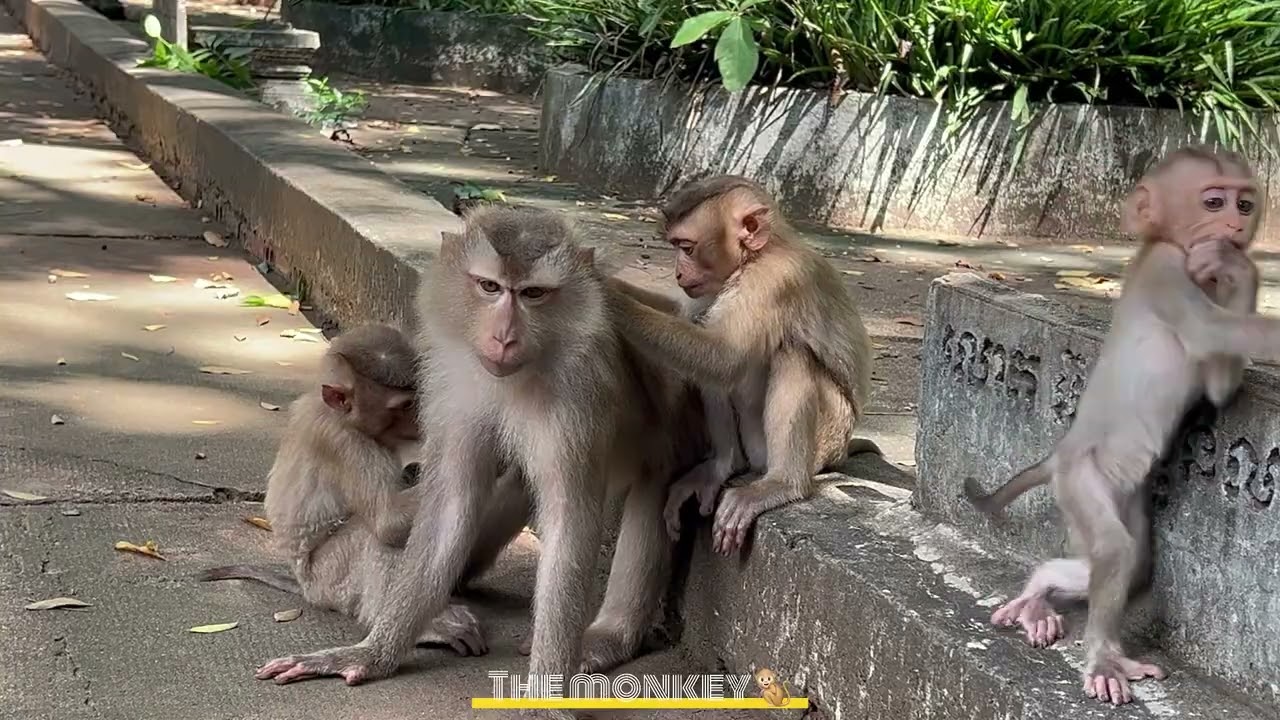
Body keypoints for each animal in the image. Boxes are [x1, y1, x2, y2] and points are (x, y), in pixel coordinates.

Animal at [253, 206, 707, 690]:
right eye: (490, 287)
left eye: (533, 293)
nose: (504, 337)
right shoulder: (453, 380)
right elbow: (452, 500)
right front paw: (375, 654)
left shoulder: (578, 396)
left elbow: (568, 523)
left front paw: (547, 689)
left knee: (655, 478)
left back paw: (609, 637)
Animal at [605, 175, 879, 555]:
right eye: (675, 247)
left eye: (686, 247)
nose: (677, 273)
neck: (757, 257)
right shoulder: (711, 287)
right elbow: (695, 328)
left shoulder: (775, 280)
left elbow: (725, 355)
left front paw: (605, 295)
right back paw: (724, 466)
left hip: (828, 436)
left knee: (791, 354)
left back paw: (784, 484)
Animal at [962, 145, 1280, 705]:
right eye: (1214, 201)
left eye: (1244, 203)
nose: (1236, 225)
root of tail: (1060, 452)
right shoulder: (1166, 270)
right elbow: (1212, 330)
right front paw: (1239, 265)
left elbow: (1220, 385)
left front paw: (1234, 266)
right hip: (1081, 479)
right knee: (1113, 551)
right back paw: (1104, 657)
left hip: (1127, 496)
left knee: (1132, 564)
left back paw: (1037, 595)